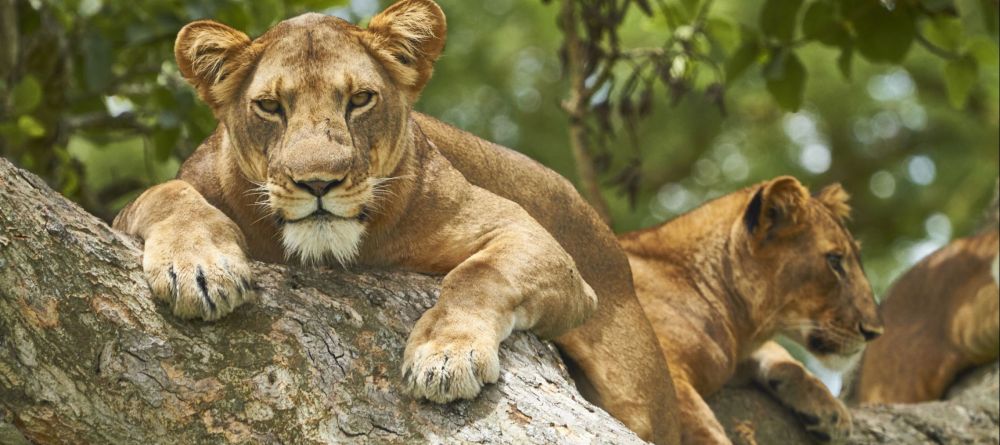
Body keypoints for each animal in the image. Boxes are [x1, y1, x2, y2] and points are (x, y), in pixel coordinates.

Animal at [111, 1, 679, 442]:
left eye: (360, 99)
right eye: (270, 107)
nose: (318, 182)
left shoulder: (531, 238)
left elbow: (478, 274)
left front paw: (445, 356)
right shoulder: (159, 198)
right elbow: (167, 195)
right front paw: (199, 269)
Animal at [619, 176, 883, 444]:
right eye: (835, 261)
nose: (875, 332)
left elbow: (781, 355)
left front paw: (831, 411)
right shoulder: (663, 365)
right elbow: (700, 425)